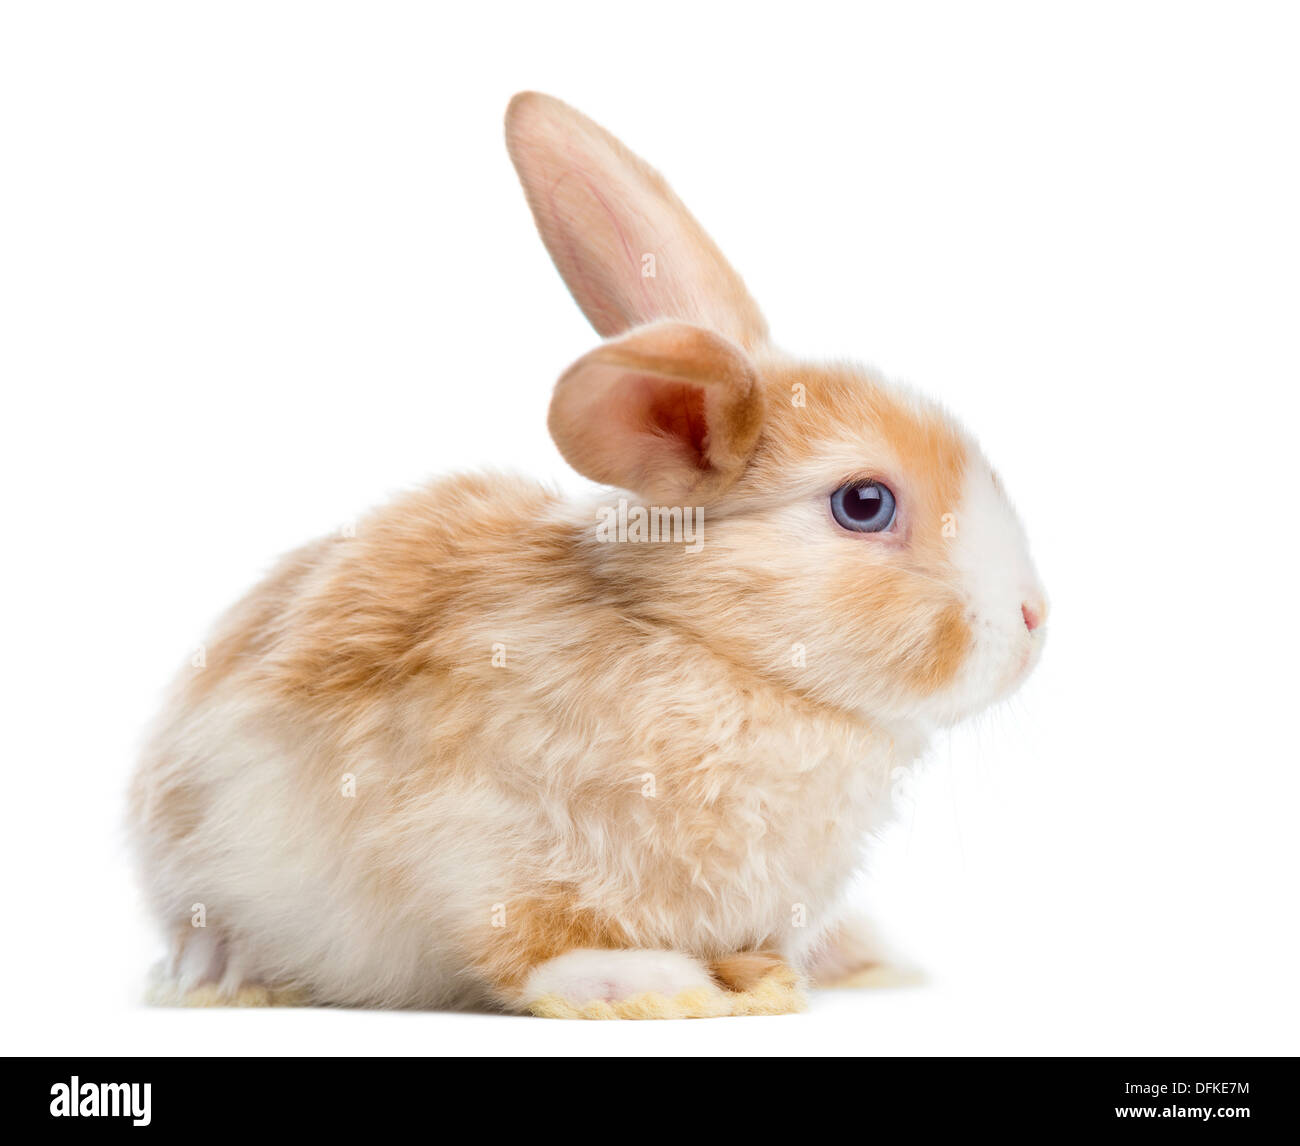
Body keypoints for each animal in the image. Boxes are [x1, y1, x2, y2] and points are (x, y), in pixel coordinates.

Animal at [129, 93, 1045, 1013]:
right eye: (864, 504)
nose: (1034, 620)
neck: (716, 649)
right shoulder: (472, 842)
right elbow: (532, 941)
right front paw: (648, 985)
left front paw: (770, 978)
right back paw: (216, 971)